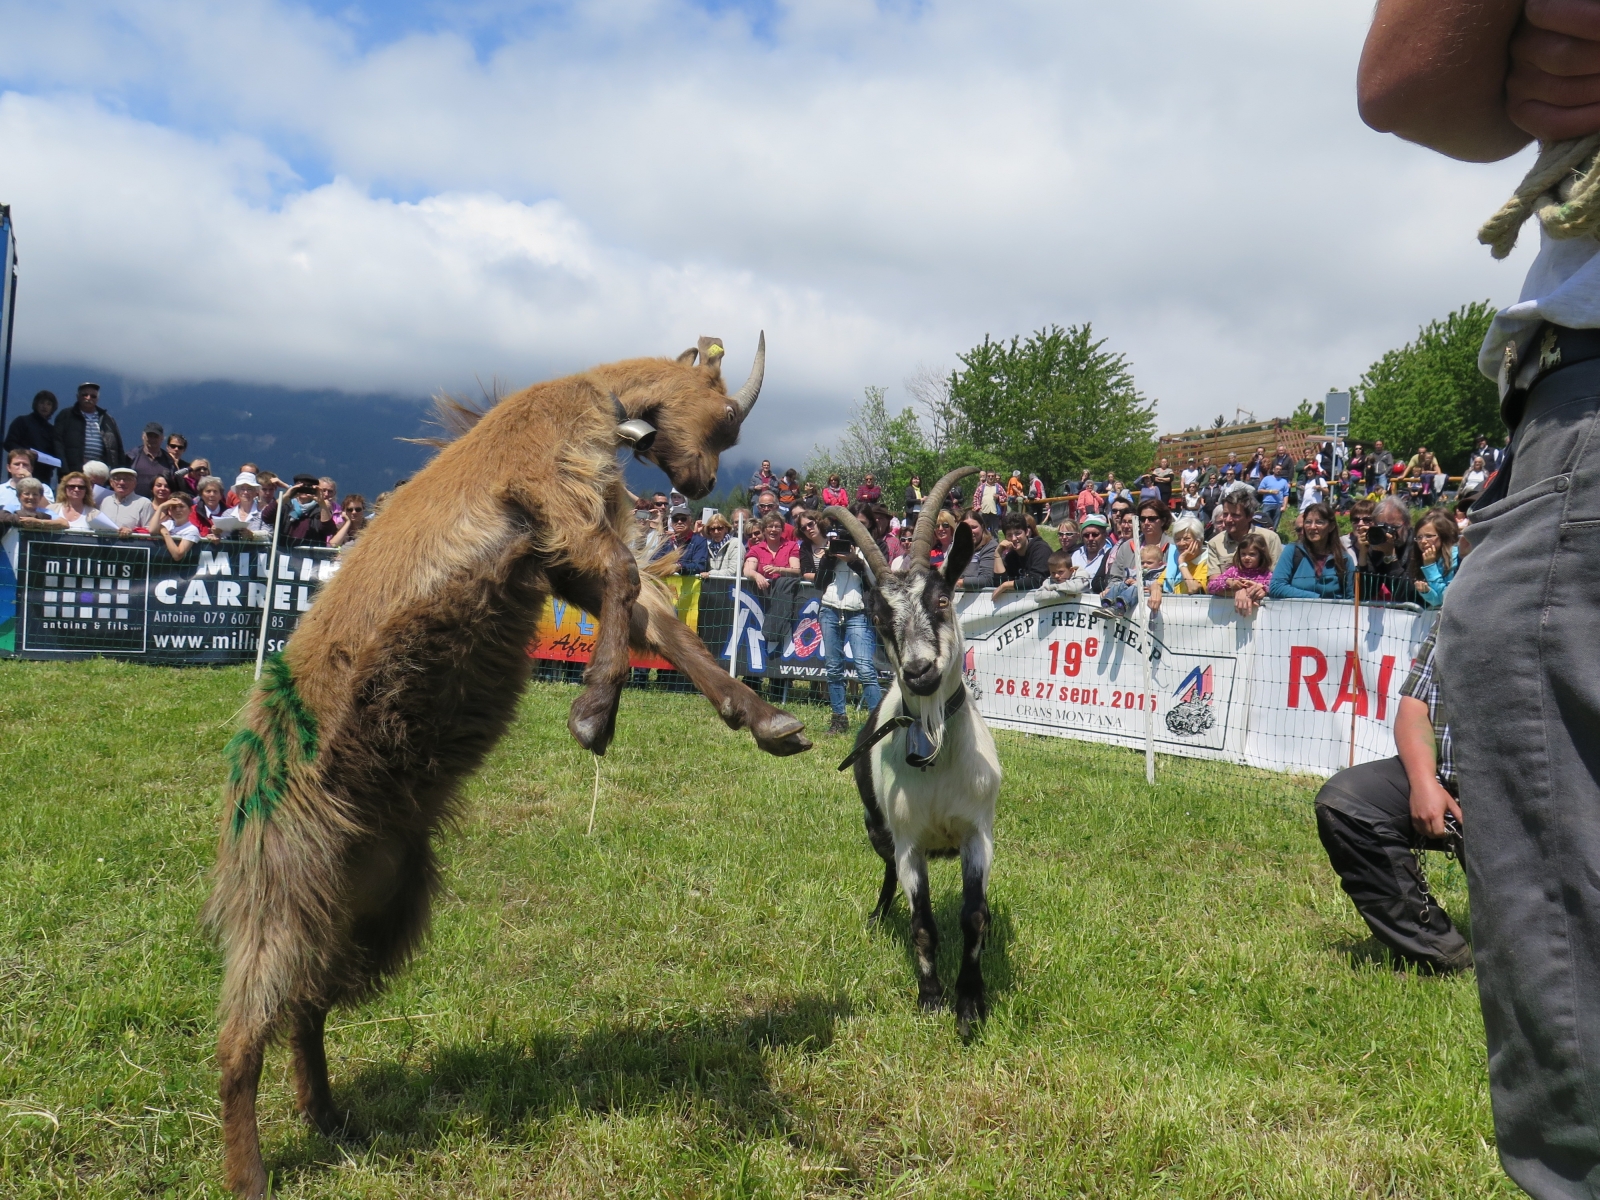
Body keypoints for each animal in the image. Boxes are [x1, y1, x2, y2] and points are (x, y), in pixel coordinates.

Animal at [825, 464, 998, 1036]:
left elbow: (973, 917)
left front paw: (970, 1006)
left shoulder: (977, 834)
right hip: (878, 828)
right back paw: (879, 916)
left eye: (942, 600)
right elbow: (923, 924)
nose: (919, 671)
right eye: (879, 618)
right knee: (884, 872)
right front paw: (931, 998)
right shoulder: (909, 844)